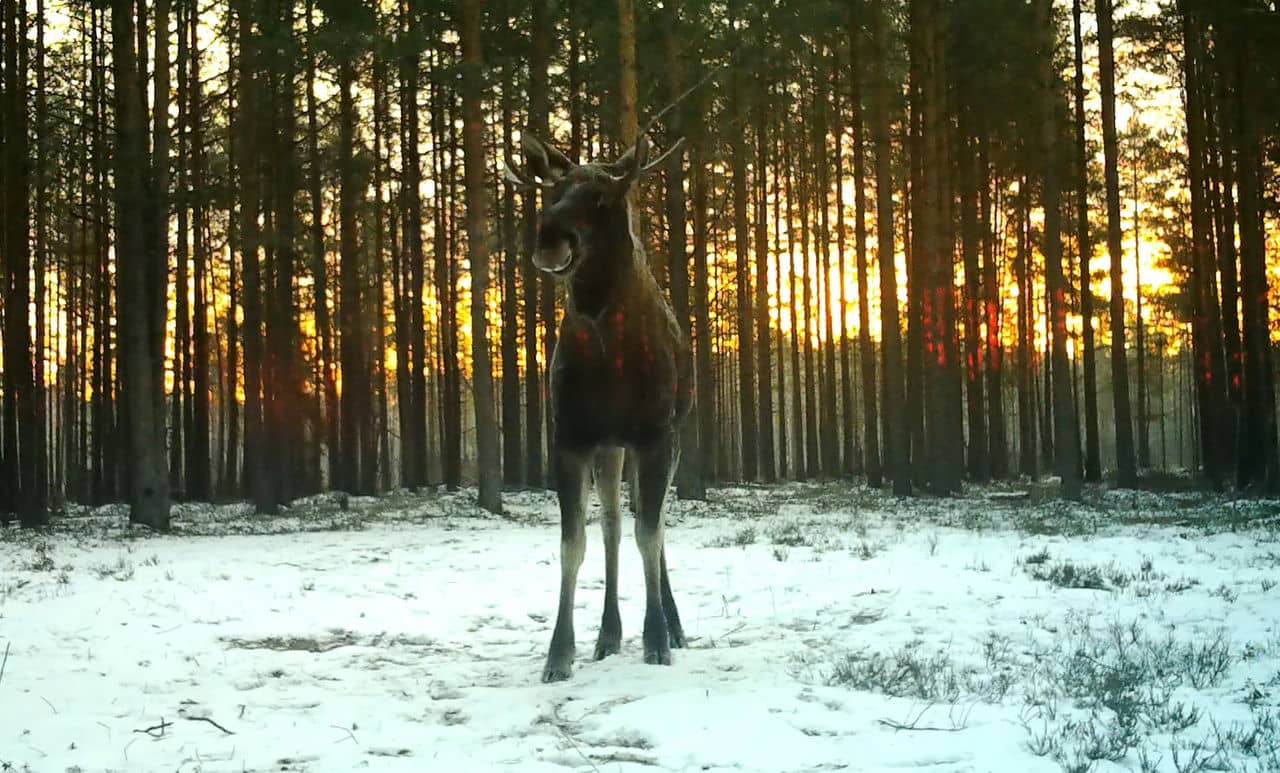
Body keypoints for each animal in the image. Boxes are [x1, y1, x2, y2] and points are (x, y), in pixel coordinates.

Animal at [504, 131, 696, 680]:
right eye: (553, 191)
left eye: (602, 197)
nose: (550, 236)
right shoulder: (570, 435)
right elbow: (574, 544)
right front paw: (559, 653)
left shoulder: (655, 434)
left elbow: (650, 534)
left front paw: (657, 639)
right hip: (611, 446)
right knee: (612, 523)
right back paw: (609, 633)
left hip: (666, 436)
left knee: (651, 525)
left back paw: (672, 625)